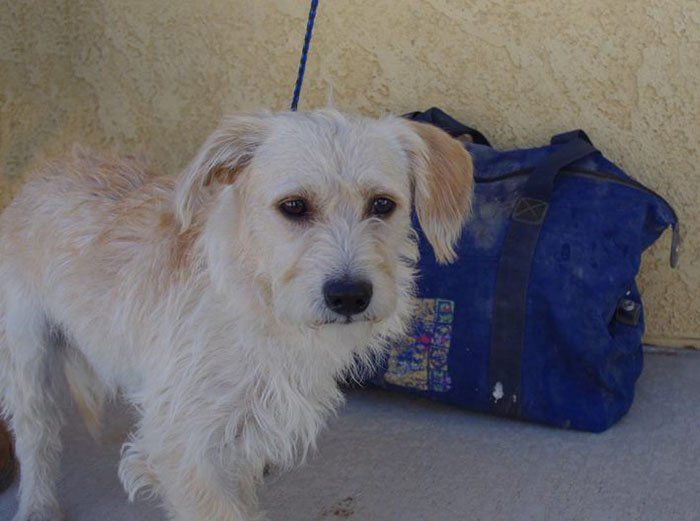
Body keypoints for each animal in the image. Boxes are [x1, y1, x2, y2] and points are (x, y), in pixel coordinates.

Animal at [0, 109, 474, 520]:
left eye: (381, 205)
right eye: (294, 206)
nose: (349, 296)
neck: (257, 301)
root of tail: (45, 169)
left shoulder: (242, 440)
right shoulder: (186, 449)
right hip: (26, 357)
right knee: (36, 437)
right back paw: (38, 506)